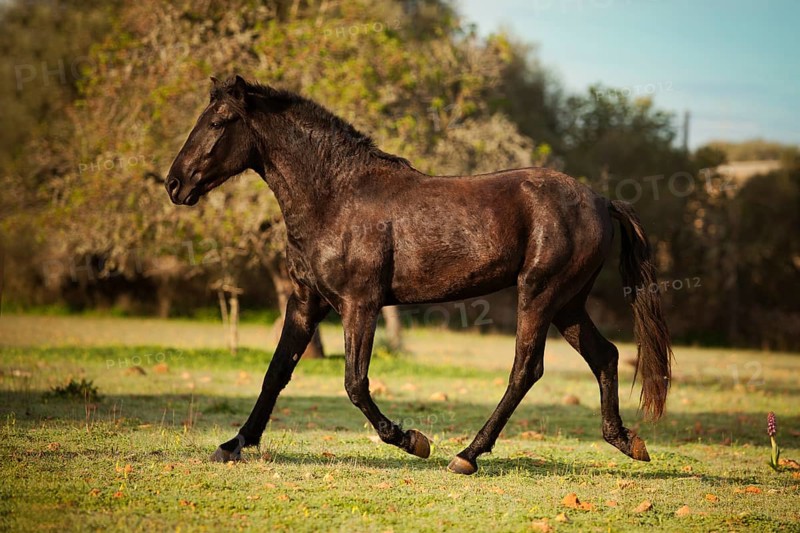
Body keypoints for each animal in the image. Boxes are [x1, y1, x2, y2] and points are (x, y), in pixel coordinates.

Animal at [165, 75, 672, 475]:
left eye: (218, 122)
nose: (174, 183)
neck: (336, 196)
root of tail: (602, 200)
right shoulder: (307, 301)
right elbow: (276, 372)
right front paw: (234, 444)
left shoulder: (360, 304)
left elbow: (354, 383)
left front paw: (412, 440)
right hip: (568, 305)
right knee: (605, 356)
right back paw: (627, 442)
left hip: (540, 295)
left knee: (526, 370)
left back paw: (466, 455)